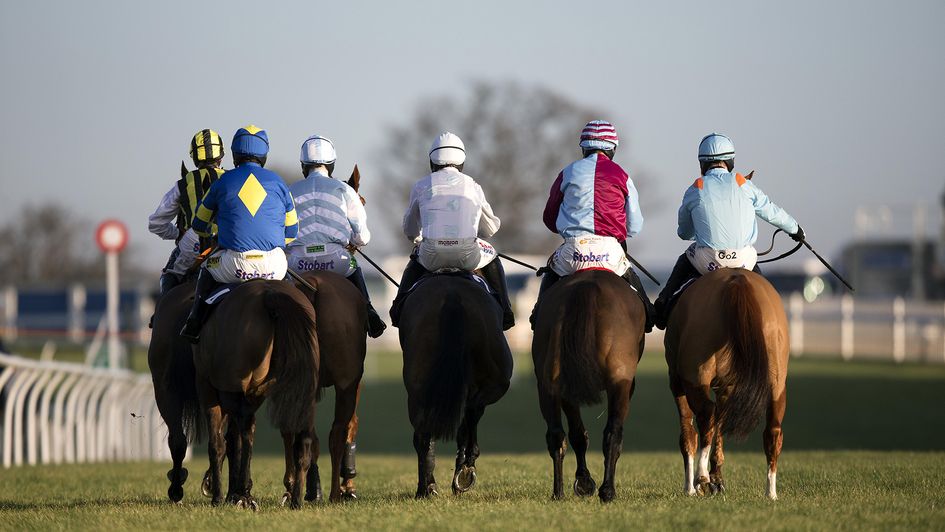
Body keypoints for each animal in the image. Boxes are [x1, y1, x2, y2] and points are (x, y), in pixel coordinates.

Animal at [193, 280, 320, 510]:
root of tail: (269, 294)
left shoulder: (208, 386)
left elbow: (219, 443)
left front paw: (220, 495)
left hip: (233, 387)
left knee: (245, 432)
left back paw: (243, 492)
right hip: (301, 386)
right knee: (301, 435)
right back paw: (295, 498)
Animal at [284, 272, 366, 504]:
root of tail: (314, 285)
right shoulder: (352, 382)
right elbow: (351, 424)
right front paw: (348, 483)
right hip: (346, 383)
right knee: (336, 433)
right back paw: (334, 494)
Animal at [400, 274, 512, 498]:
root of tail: (452, 296)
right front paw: (465, 470)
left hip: (417, 389)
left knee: (423, 435)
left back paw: (427, 488)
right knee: (467, 415)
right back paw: (459, 473)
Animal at [532, 270, 648, 502]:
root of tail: (586, 286)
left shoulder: (567, 390)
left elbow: (577, 434)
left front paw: (583, 482)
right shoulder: (626, 384)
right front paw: (588, 484)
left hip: (549, 385)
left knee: (556, 435)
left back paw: (558, 492)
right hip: (619, 381)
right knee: (613, 433)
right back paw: (607, 491)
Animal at [664, 270, 788, 498]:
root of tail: (737, 280)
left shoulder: (677, 380)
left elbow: (688, 433)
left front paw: (691, 487)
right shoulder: (727, 386)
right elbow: (721, 424)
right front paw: (717, 478)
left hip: (695, 377)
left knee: (706, 415)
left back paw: (700, 477)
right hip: (777, 382)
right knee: (773, 431)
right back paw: (771, 492)